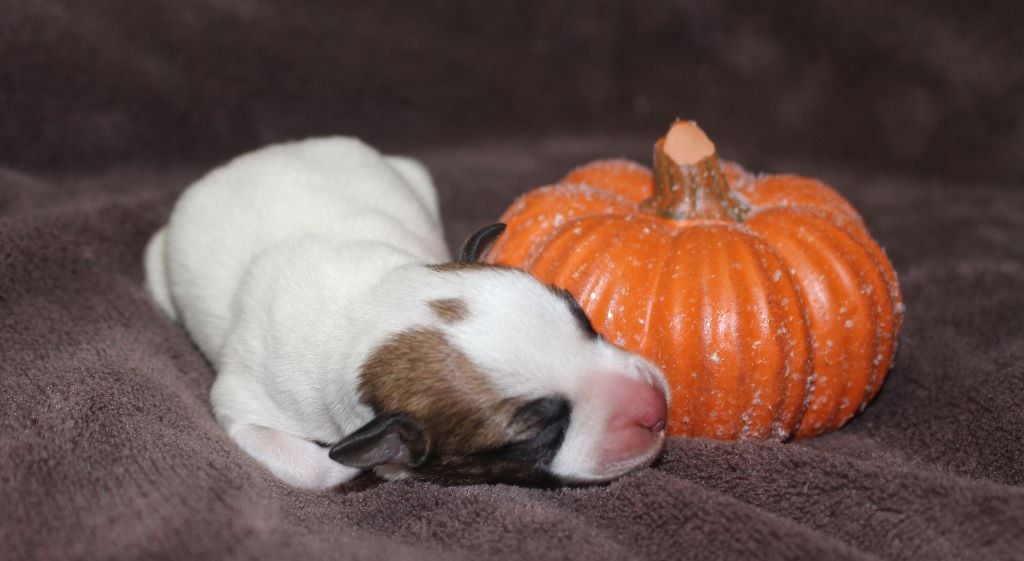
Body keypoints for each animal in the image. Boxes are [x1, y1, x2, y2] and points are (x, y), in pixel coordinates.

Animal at [144, 139, 671, 491]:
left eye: (583, 320)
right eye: (539, 434)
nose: (656, 409)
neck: (366, 308)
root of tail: (258, 155)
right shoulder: (245, 405)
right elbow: (314, 466)